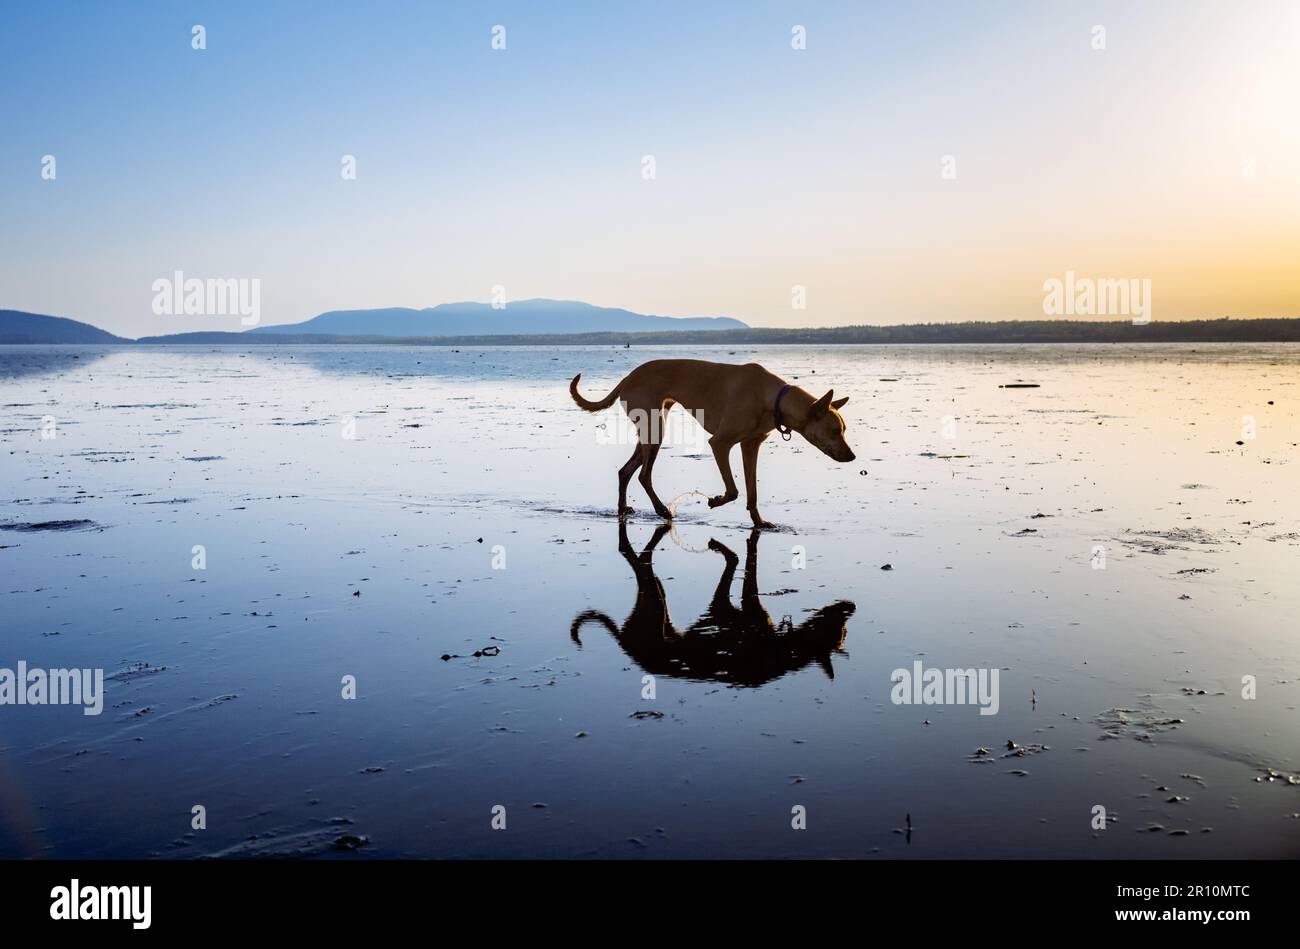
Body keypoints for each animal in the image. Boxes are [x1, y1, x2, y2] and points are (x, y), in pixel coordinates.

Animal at [569, 358, 852, 527]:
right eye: (835, 431)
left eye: (843, 429)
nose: (852, 458)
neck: (772, 398)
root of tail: (628, 377)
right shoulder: (720, 443)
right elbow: (734, 490)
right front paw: (715, 501)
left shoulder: (750, 446)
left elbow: (752, 492)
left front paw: (759, 522)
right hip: (655, 429)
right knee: (643, 475)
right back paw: (661, 510)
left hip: (649, 433)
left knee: (625, 471)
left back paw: (623, 509)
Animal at [569, 520, 852, 686]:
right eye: (840, 632)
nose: (853, 607)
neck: (783, 651)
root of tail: (624, 644)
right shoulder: (722, 606)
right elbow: (734, 561)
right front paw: (720, 547)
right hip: (655, 607)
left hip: (658, 606)